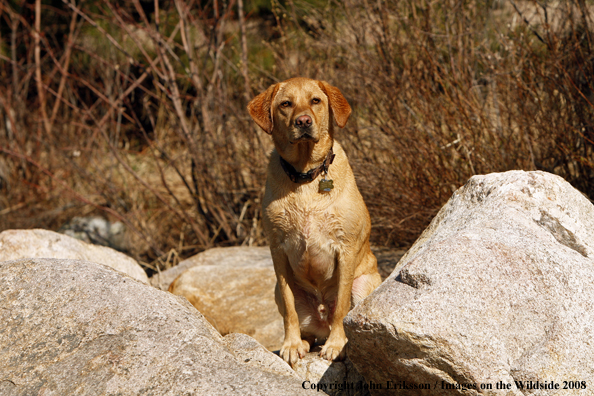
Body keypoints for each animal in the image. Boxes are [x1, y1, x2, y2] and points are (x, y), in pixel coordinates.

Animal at [246, 76, 380, 366]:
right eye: (286, 104)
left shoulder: (346, 249)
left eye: (315, 100)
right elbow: (289, 308)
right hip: (278, 289)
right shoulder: (278, 251)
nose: (303, 121)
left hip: (365, 283)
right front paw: (291, 344)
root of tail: (321, 322)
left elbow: (341, 306)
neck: (306, 175)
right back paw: (304, 341)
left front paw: (337, 345)